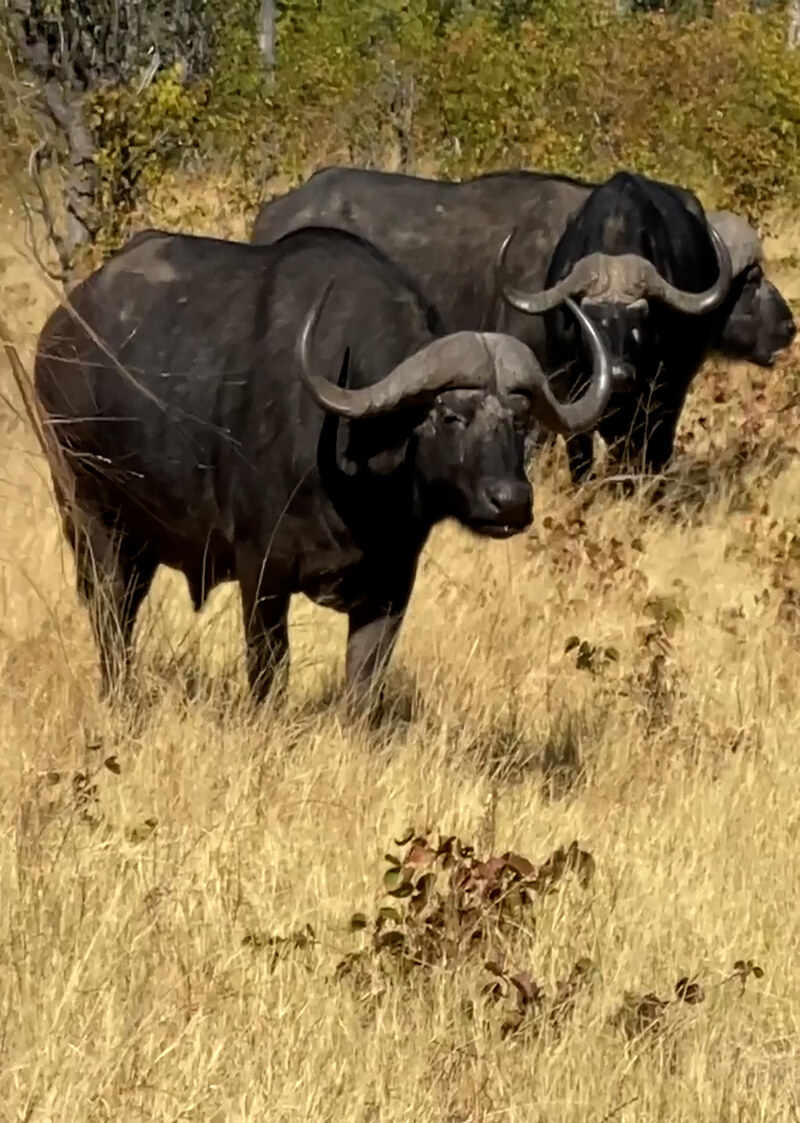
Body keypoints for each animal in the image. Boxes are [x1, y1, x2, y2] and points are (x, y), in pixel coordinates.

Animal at [23, 222, 611, 705]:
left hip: (141, 540)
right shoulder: (261, 570)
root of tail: (59, 333)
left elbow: (363, 686)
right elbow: (268, 673)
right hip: (89, 515)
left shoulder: (391, 585)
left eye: (520, 419)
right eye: (449, 415)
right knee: (109, 611)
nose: (510, 502)